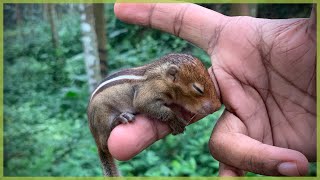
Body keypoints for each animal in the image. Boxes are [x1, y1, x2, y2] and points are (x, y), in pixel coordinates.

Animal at [87, 53, 222, 176]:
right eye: (198, 89)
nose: (218, 106)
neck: (161, 78)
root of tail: (95, 138)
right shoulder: (148, 93)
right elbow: (148, 106)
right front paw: (175, 121)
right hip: (102, 116)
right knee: (105, 138)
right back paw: (120, 118)